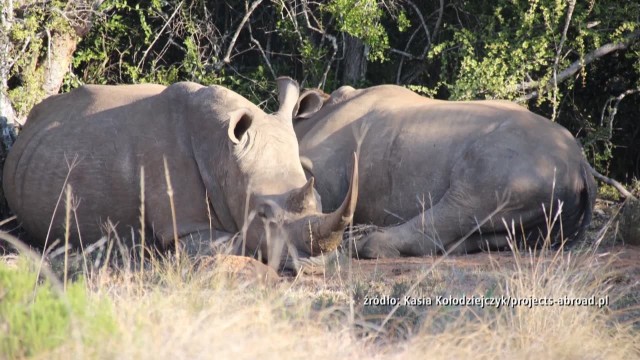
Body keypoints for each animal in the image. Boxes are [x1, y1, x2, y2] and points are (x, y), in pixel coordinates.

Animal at [2, 77, 358, 268]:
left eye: (319, 198)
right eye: (264, 215)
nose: (316, 266)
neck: (223, 155)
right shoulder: (183, 226)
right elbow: (232, 243)